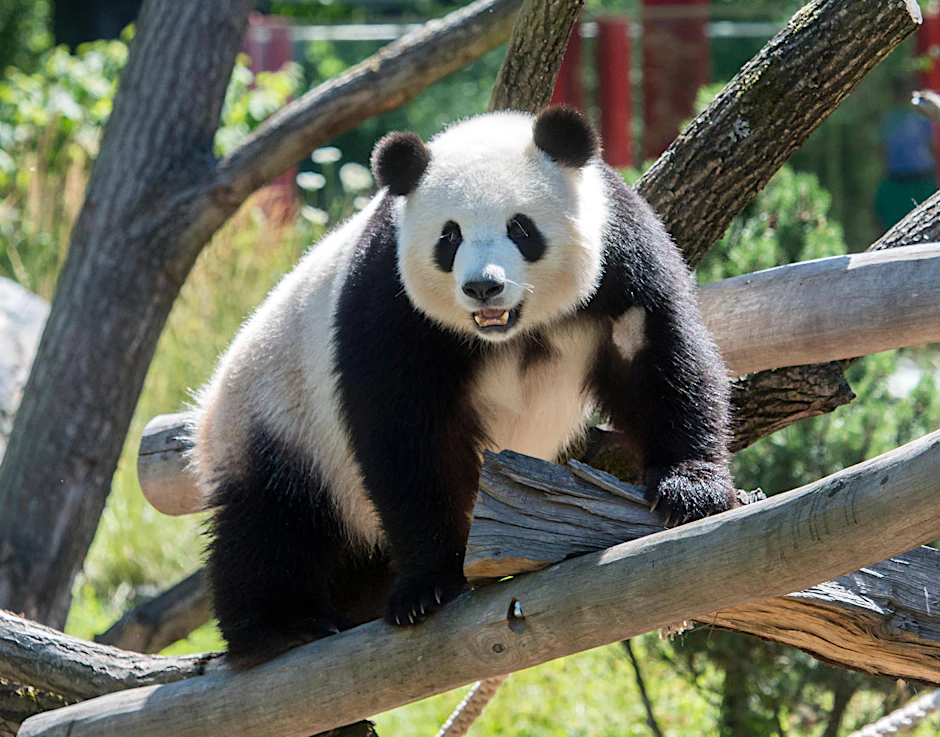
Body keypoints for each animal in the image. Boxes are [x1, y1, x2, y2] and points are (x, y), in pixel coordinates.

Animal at [189, 106, 737, 671]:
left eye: (520, 227)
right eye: (448, 238)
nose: (483, 287)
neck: (511, 330)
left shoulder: (620, 260)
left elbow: (657, 362)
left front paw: (690, 490)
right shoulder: (389, 300)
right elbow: (405, 433)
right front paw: (426, 587)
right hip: (277, 417)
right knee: (271, 522)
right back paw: (277, 628)